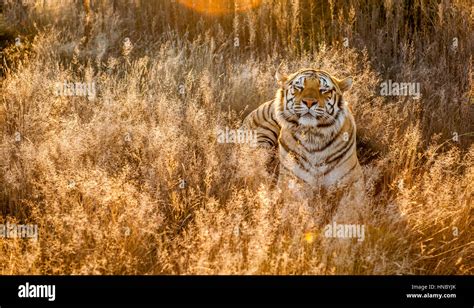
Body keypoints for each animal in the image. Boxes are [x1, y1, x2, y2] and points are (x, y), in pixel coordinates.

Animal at [243, 67, 364, 195]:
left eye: (323, 90)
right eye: (299, 87)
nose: (309, 102)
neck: (313, 136)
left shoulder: (354, 180)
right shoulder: (292, 180)